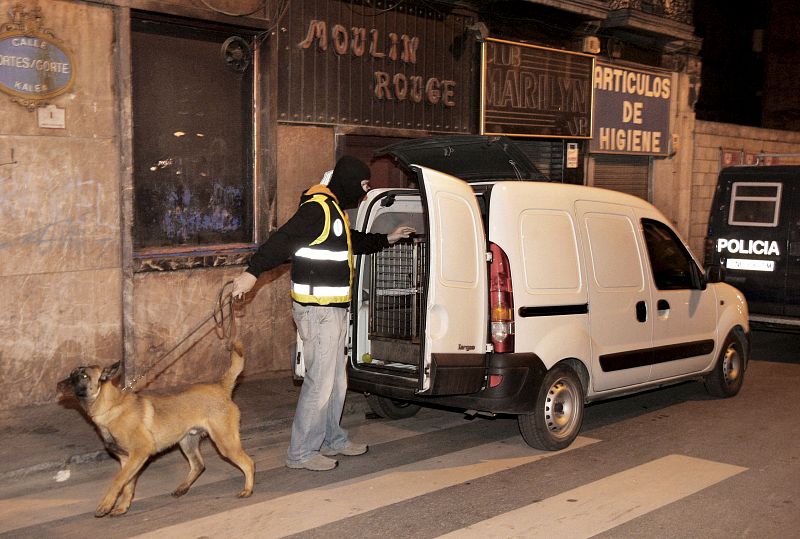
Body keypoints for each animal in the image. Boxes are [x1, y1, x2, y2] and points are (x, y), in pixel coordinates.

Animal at [58, 344, 253, 516]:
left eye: (83, 375)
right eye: (71, 373)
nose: (59, 384)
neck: (110, 406)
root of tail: (221, 387)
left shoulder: (139, 453)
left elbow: (118, 481)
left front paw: (106, 504)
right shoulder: (127, 459)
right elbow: (127, 485)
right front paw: (122, 507)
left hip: (225, 443)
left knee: (249, 463)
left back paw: (248, 489)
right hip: (187, 442)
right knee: (199, 465)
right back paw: (183, 488)